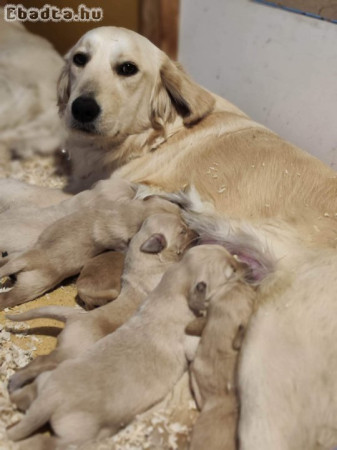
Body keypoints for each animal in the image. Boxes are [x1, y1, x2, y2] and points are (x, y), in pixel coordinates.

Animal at [0, 192, 178, 308]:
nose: (184, 221)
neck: (124, 212)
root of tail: (27, 260)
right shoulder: (119, 242)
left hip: (16, 256)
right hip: (31, 287)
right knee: (7, 298)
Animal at [6, 212, 194, 398]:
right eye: (183, 231)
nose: (196, 233)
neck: (147, 261)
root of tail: (75, 317)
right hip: (70, 352)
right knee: (40, 362)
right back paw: (14, 383)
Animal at [6, 244, 256, 448]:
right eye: (232, 271)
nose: (250, 268)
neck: (171, 293)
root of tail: (53, 397)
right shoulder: (191, 342)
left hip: (45, 382)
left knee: (25, 396)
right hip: (74, 434)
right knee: (43, 441)